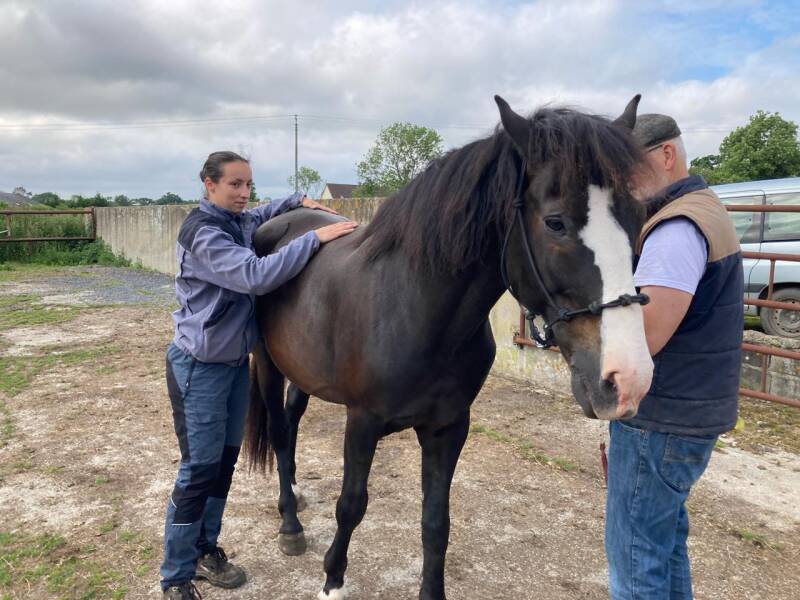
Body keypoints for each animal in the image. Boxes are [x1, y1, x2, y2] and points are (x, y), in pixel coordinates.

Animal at [245, 95, 654, 600]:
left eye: (636, 219)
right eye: (556, 223)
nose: (627, 379)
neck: (415, 310)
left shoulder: (449, 427)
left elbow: (436, 524)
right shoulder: (362, 422)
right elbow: (352, 504)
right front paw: (333, 580)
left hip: (304, 372)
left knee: (293, 419)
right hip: (267, 363)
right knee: (280, 432)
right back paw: (290, 524)